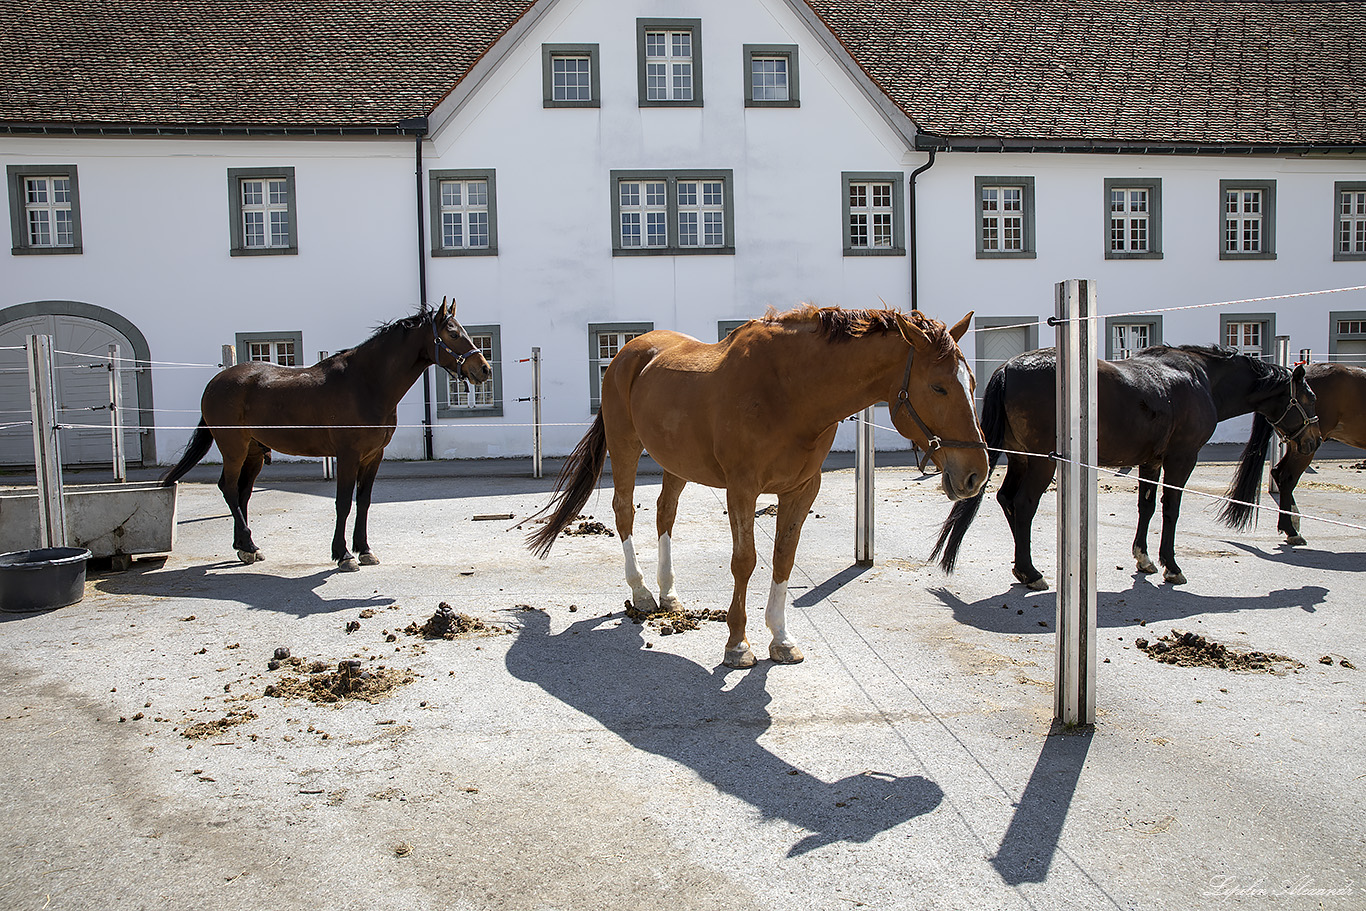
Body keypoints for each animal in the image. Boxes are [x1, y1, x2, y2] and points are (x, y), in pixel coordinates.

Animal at [161, 299, 491, 570]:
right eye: (452, 334)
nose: (484, 369)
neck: (366, 383)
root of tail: (216, 381)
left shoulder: (373, 456)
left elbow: (364, 501)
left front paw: (365, 550)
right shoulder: (348, 456)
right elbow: (343, 502)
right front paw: (343, 554)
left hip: (254, 451)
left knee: (242, 492)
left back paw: (246, 547)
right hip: (233, 448)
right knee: (228, 488)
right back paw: (248, 544)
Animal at [527, 305, 988, 669]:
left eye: (972, 382)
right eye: (938, 386)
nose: (975, 474)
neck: (790, 391)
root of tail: (627, 353)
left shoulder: (802, 490)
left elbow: (784, 557)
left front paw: (781, 639)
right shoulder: (742, 488)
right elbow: (744, 561)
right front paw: (737, 644)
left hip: (676, 461)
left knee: (664, 512)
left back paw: (669, 595)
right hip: (625, 445)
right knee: (624, 510)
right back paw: (641, 593)